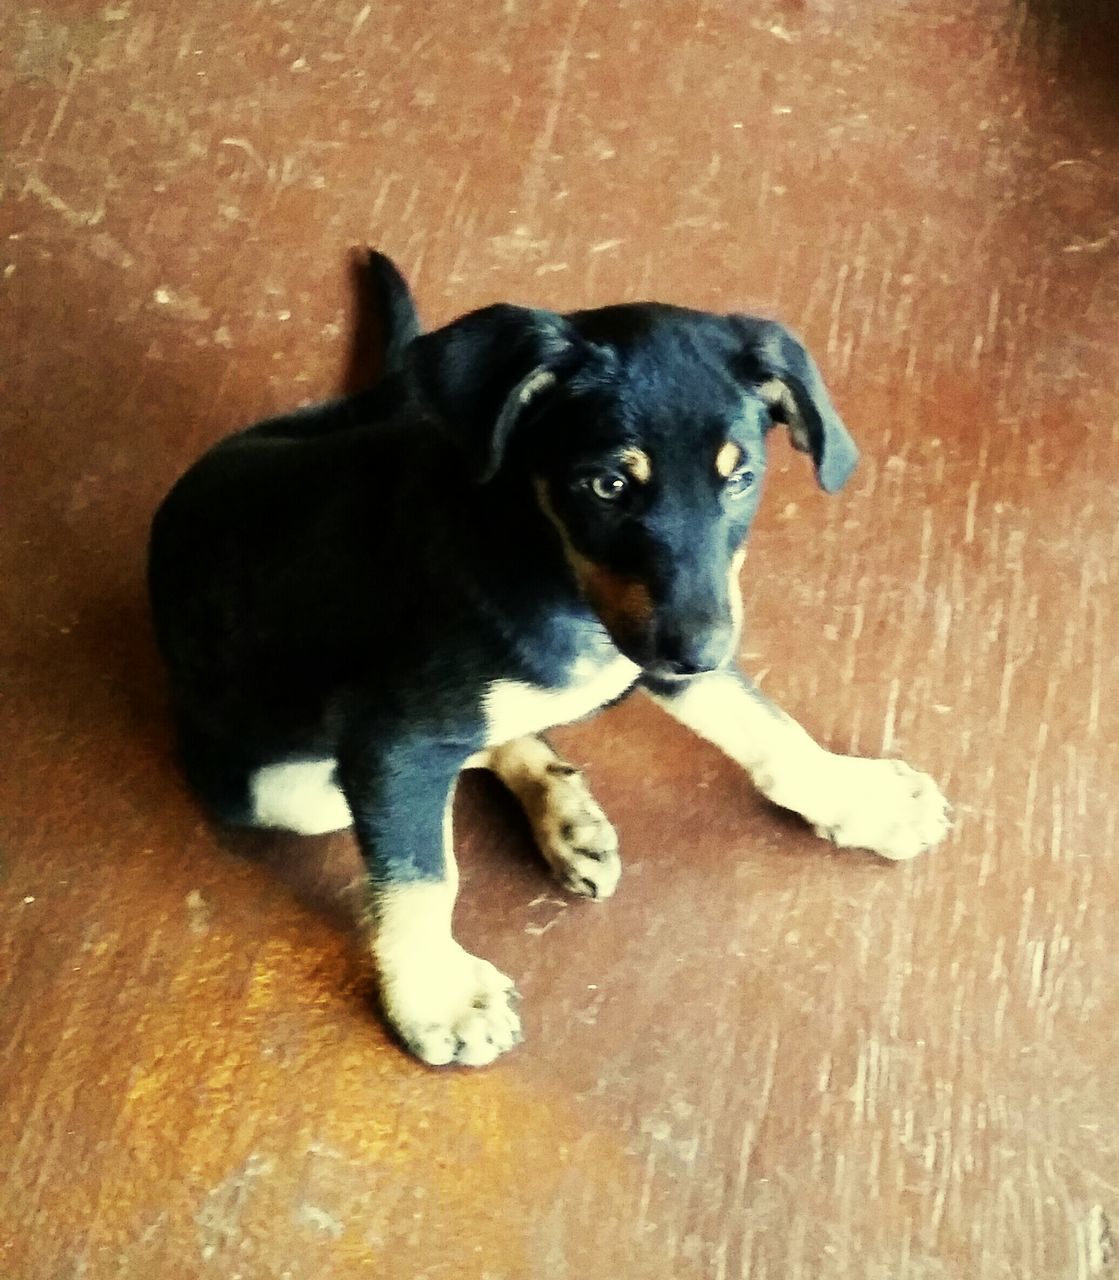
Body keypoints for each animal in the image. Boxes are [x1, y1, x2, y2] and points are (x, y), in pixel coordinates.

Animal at [148, 249, 947, 1070]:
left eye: (741, 478)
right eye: (607, 483)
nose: (699, 651)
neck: (541, 554)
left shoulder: (651, 647)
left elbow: (764, 724)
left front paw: (859, 798)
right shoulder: (392, 742)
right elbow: (422, 874)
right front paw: (435, 995)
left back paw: (566, 812)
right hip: (288, 791)